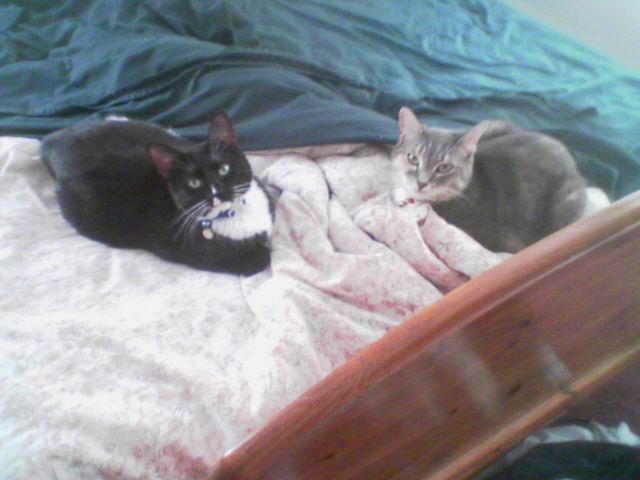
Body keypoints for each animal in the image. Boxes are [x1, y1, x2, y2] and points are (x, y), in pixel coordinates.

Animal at [40, 113, 273, 275]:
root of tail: (53, 143)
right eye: (194, 182)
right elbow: (258, 258)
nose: (219, 193)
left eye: (224, 169)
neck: (235, 213)